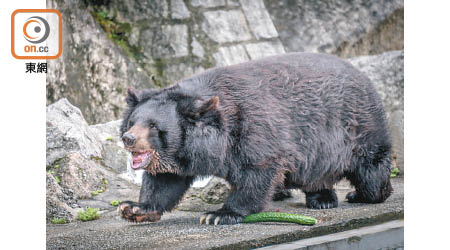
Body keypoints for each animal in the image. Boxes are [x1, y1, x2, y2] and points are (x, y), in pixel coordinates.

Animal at [118, 52, 392, 225]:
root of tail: (363, 75)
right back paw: (321, 198)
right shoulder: (181, 154)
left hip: (358, 128)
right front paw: (134, 208)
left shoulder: (252, 129)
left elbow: (258, 171)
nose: (128, 138)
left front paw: (220, 214)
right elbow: (164, 181)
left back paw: (362, 195)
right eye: (133, 122)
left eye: (153, 126)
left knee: (371, 168)